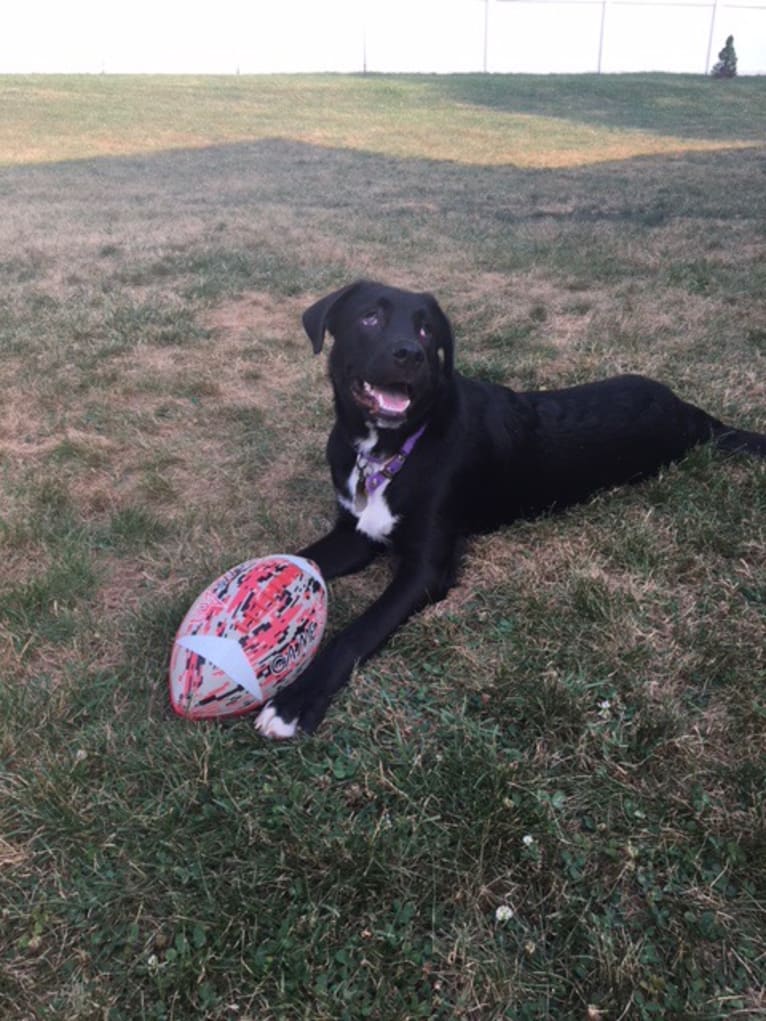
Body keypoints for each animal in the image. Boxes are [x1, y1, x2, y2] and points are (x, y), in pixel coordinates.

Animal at [255, 283, 763, 739]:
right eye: (369, 318)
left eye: (425, 330)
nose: (409, 354)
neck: (389, 450)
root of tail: (690, 412)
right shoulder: (354, 534)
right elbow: (297, 559)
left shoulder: (427, 569)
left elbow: (358, 630)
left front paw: (294, 703)